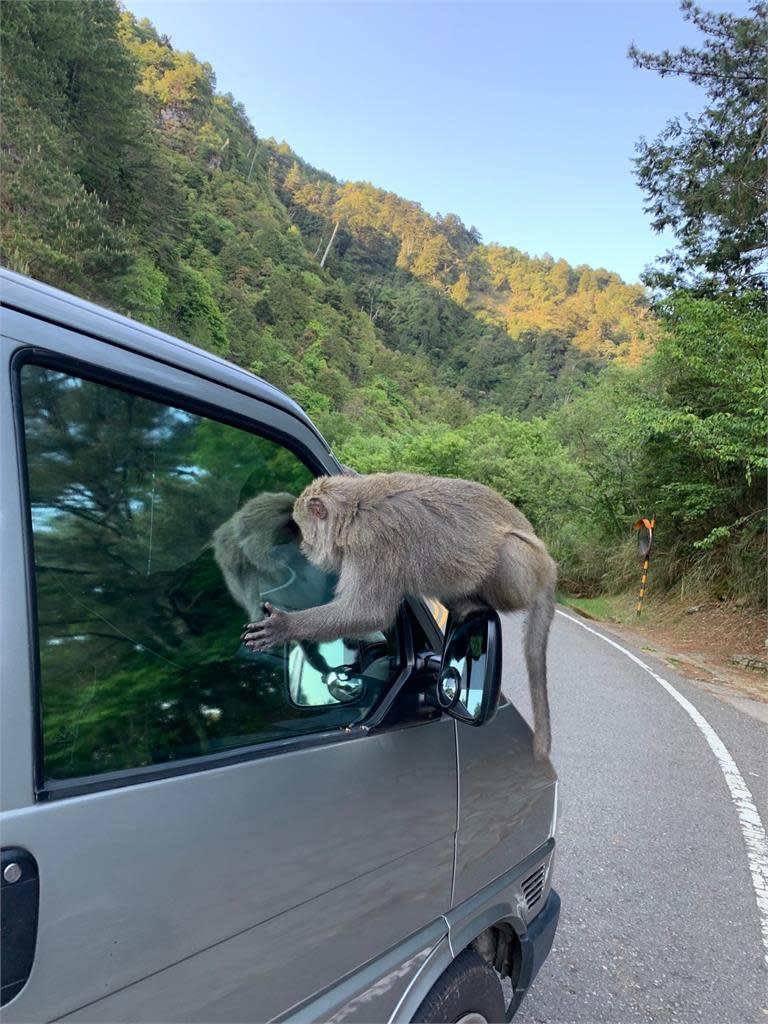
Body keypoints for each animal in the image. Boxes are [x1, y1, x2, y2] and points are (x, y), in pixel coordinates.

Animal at [244, 471, 561, 753]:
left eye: (300, 527)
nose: (302, 546)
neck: (352, 514)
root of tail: (549, 569)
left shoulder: (372, 544)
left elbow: (368, 613)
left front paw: (284, 626)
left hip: (525, 570)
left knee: (506, 548)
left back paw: (476, 604)